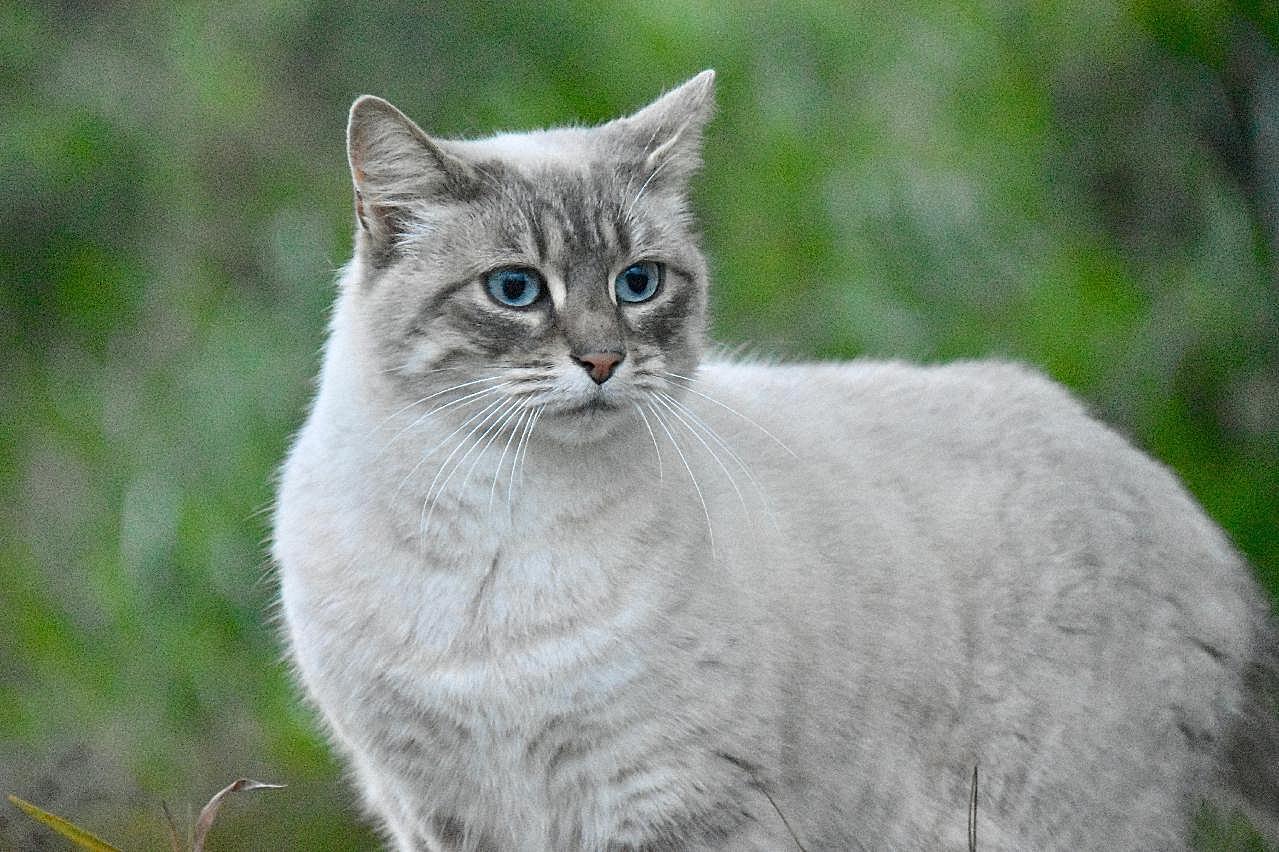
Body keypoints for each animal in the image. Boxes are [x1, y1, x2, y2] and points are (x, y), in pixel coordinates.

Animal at [272, 71, 1279, 844]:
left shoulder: (668, 800)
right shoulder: (441, 811)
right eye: (515, 290)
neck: (502, 522)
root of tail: (1167, 493)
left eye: (638, 283)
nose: (602, 362)